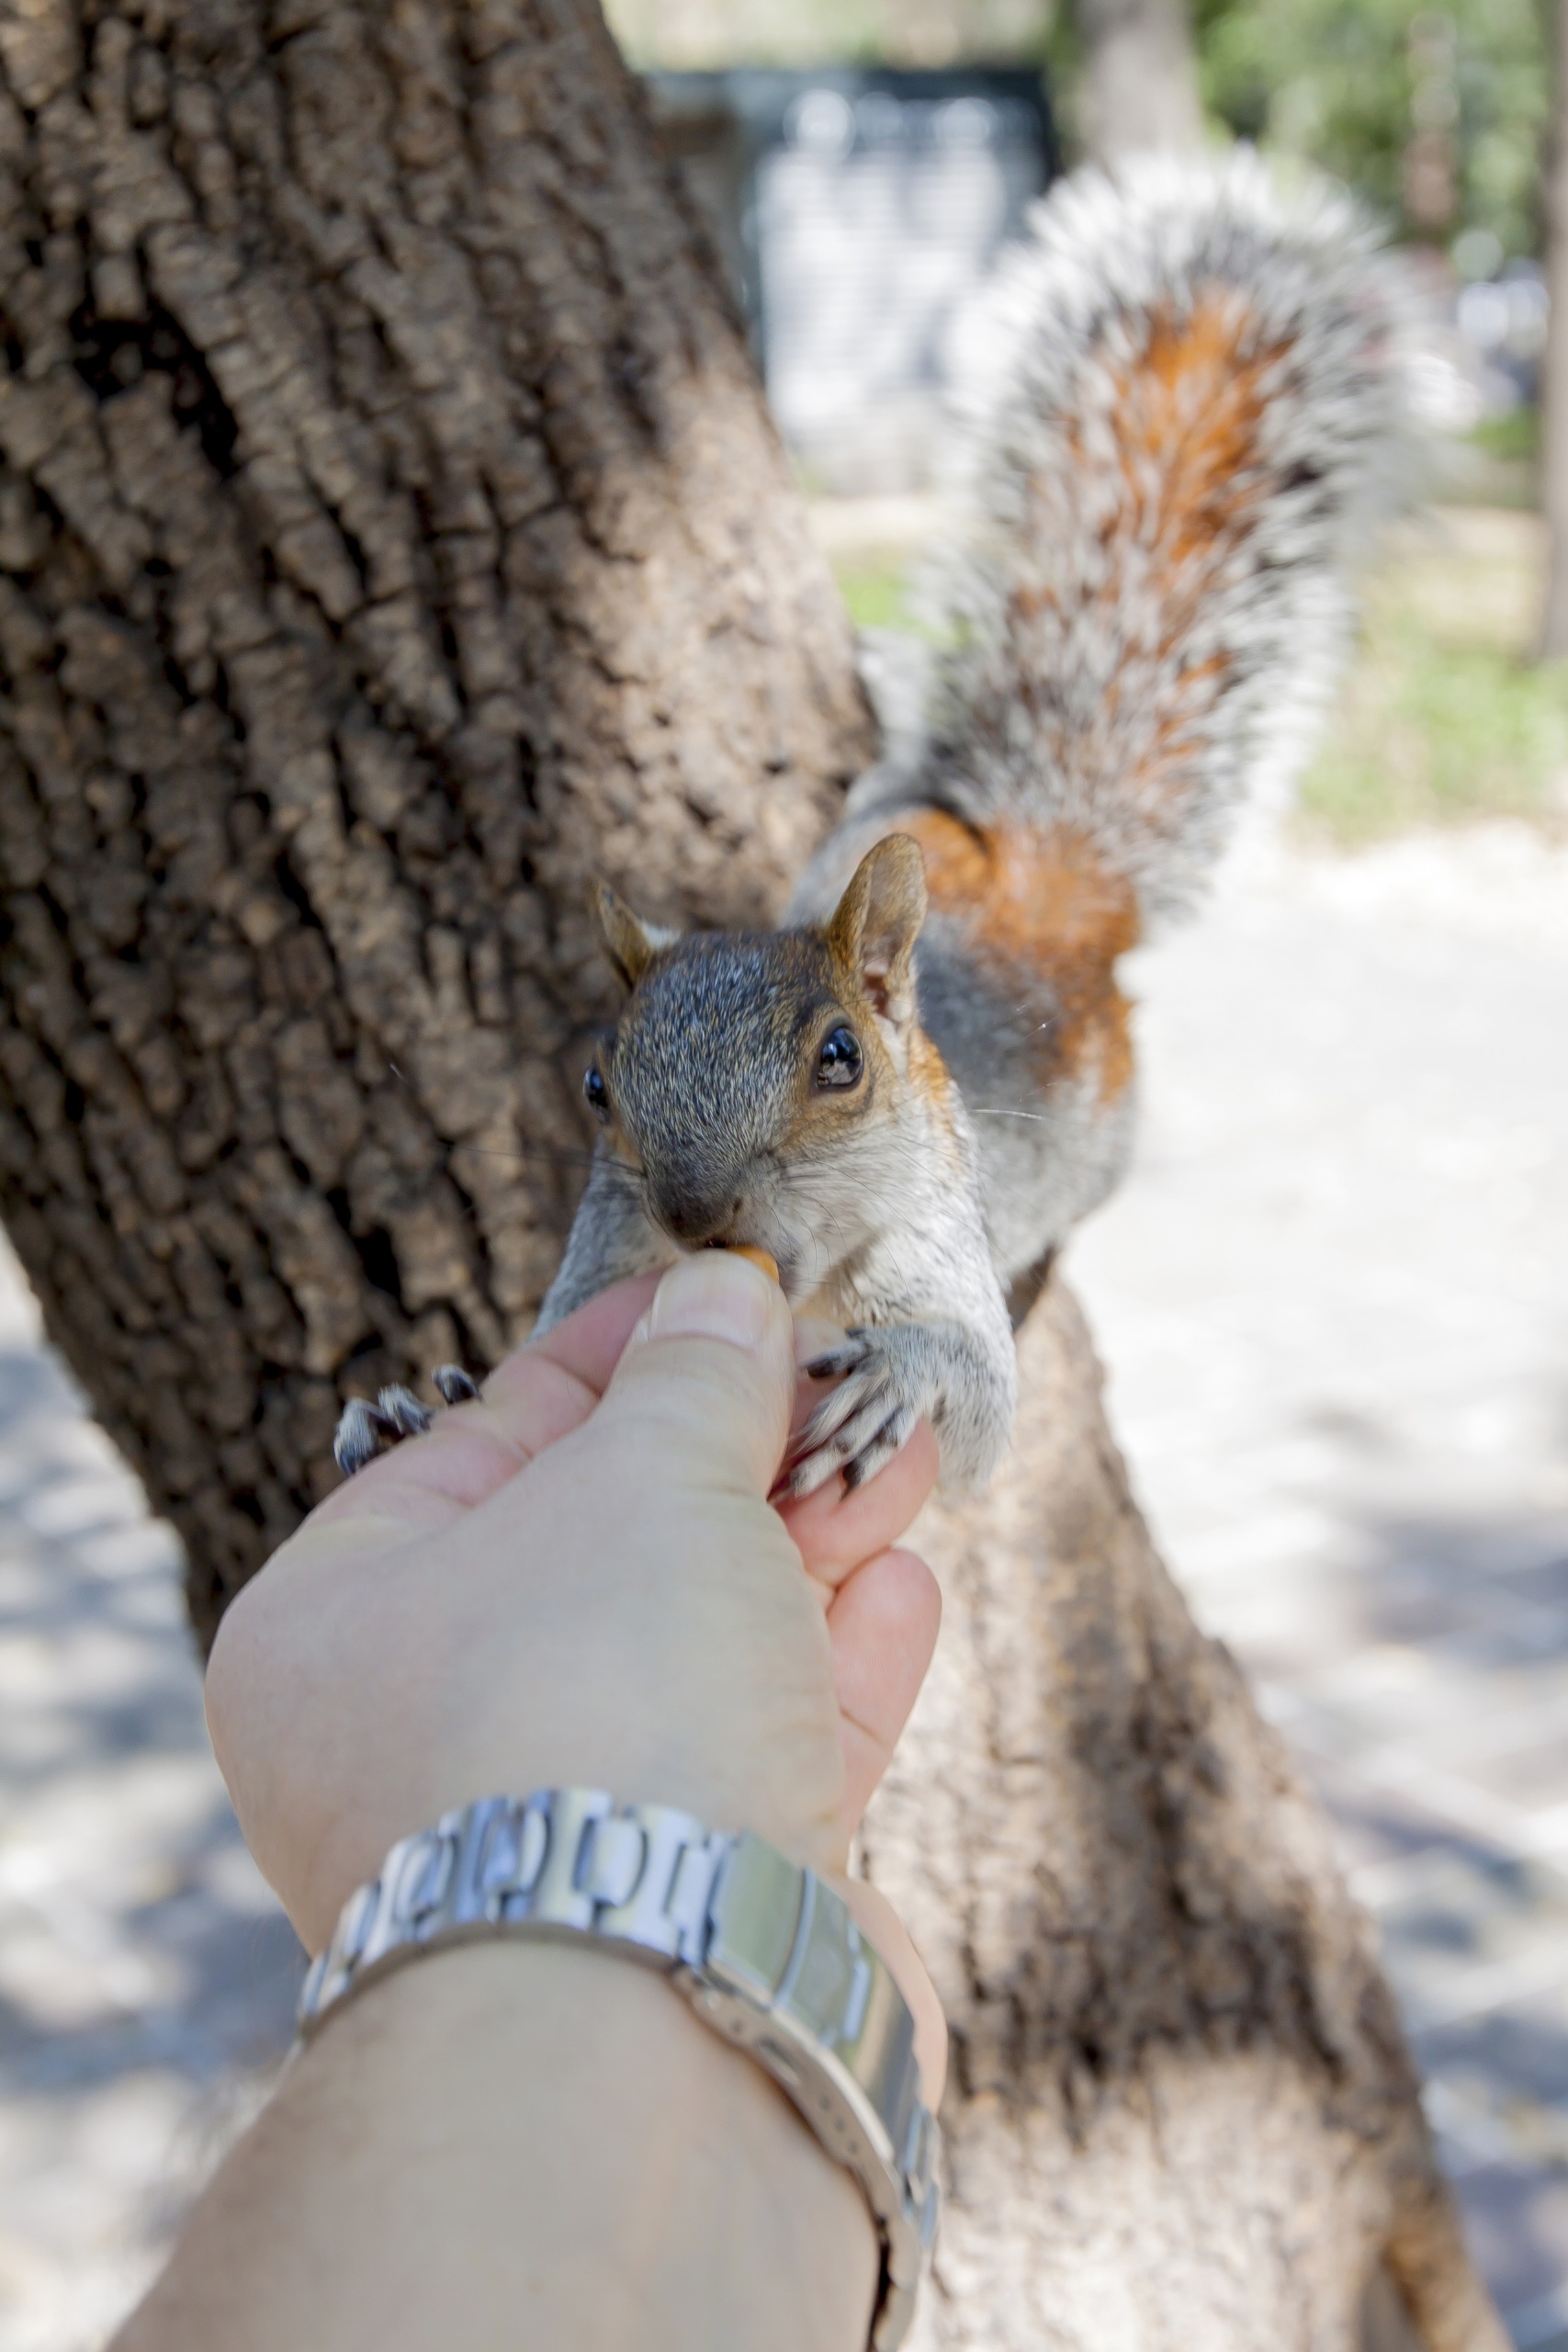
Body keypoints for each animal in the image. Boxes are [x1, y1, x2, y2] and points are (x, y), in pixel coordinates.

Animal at [338, 161, 1419, 1486]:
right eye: (596, 1081)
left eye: (840, 1061)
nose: (695, 1219)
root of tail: (1037, 888)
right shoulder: (599, 1257)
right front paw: (408, 1407)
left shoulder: (938, 1233)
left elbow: (979, 1409)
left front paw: (907, 1372)